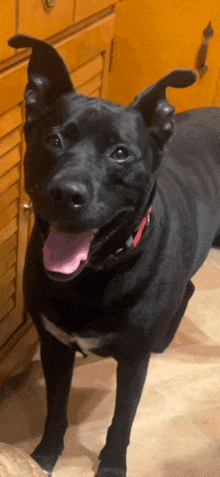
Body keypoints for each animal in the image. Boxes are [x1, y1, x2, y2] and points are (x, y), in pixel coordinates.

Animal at [7, 34, 220, 476]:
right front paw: (44, 456)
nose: (66, 193)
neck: (95, 273)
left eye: (120, 153)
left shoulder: (133, 361)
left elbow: (123, 420)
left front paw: (111, 465)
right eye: (53, 140)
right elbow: (55, 409)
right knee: (189, 286)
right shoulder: (54, 345)